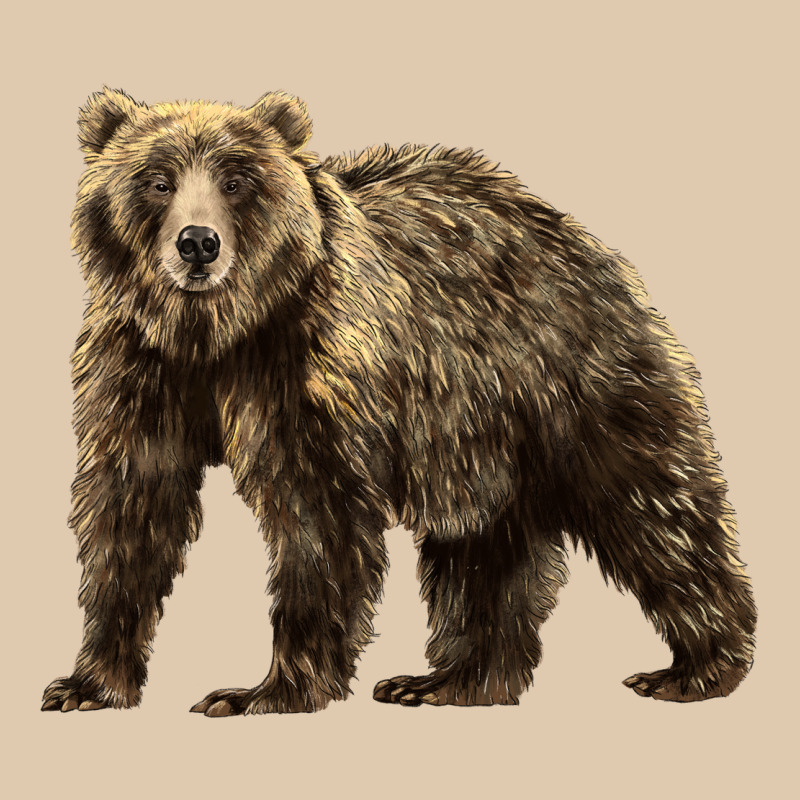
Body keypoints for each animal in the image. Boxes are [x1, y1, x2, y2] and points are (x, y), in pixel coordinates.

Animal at [42, 88, 756, 715]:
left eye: (238, 180)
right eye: (156, 180)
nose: (197, 243)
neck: (216, 334)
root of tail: (577, 234)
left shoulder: (310, 367)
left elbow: (317, 517)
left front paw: (263, 691)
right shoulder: (138, 369)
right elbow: (131, 509)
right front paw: (87, 684)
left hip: (569, 378)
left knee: (650, 503)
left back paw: (696, 667)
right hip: (475, 438)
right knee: (483, 547)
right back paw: (450, 680)